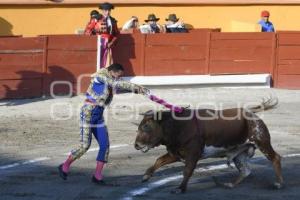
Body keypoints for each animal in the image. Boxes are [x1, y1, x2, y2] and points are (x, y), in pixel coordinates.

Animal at [135, 97, 282, 193]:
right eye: (139, 127)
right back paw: (229, 184)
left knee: (275, 158)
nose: (136, 145)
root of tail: (250, 113)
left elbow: (187, 170)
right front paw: (146, 176)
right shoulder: (176, 152)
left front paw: (180, 189)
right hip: (240, 152)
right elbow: (159, 160)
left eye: (146, 126)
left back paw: (278, 183)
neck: (178, 125)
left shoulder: (193, 153)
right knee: (245, 170)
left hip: (261, 140)